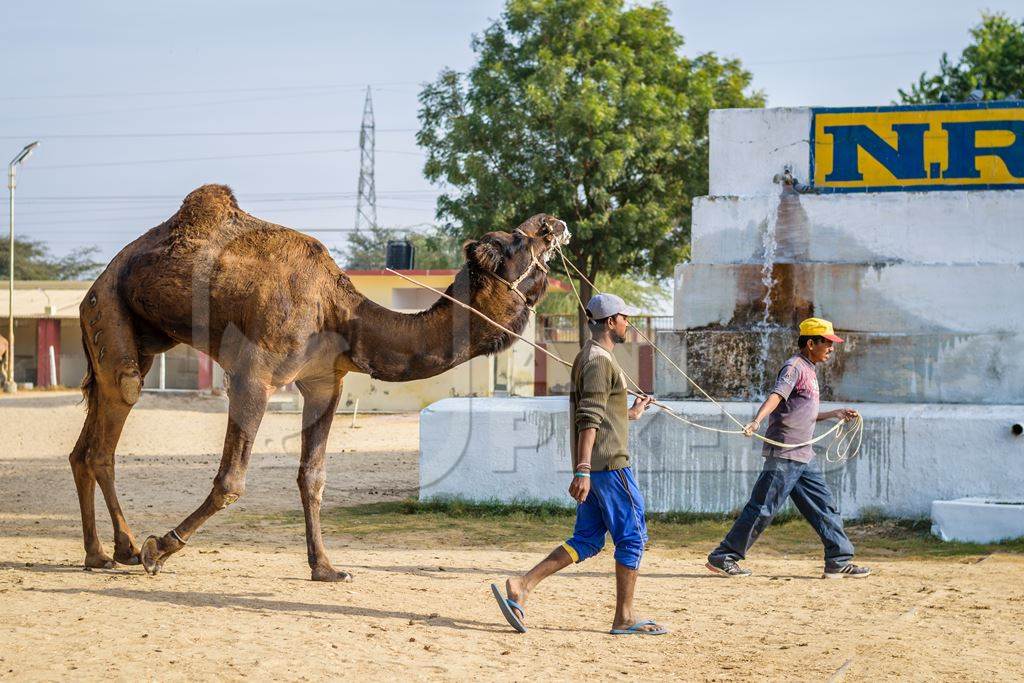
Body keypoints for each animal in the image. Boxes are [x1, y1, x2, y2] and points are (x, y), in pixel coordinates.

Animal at [72, 185, 569, 581]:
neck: (341, 314)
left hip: (136, 335)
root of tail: (97, 281)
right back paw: (128, 547)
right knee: (112, 423)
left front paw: (326, 568)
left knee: (85, 445)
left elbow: (313, 475)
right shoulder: (253, 375)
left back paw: (99, 554)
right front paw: (160, 548)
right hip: (109, 308)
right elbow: (232, 480)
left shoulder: (324, 382)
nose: (553, 221)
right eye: (517, 239)